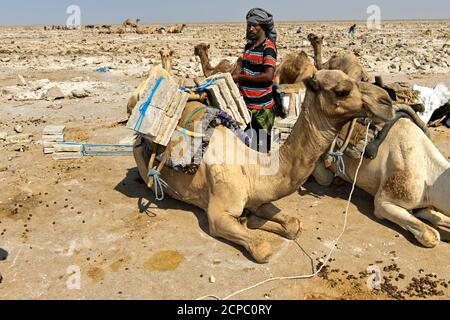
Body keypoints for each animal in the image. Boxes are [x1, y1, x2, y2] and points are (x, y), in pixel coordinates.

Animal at [131, 68, 394, 262]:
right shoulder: (219, 213)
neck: (252, 167)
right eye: (342, 90)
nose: (387, 101)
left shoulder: (259, 195)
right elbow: (262, 248)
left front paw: (254, 220)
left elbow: (293, 225)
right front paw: (250, 224)